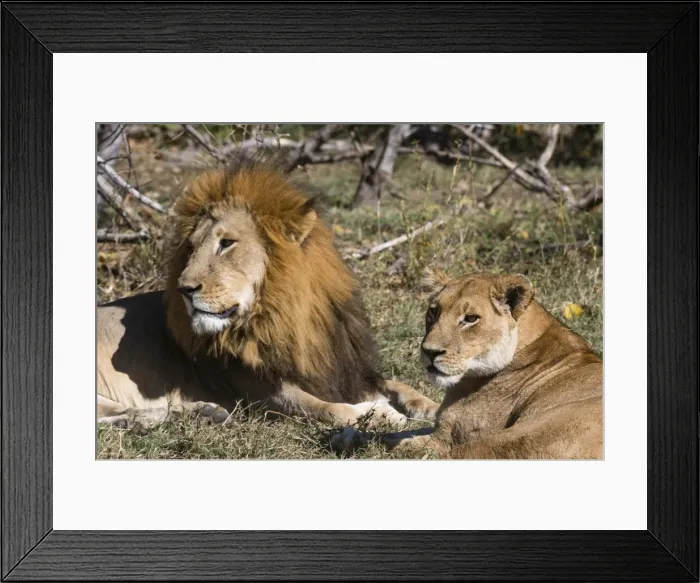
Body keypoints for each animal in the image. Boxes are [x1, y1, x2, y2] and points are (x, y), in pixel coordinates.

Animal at [97, 154, 439, 433]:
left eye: (226, 243)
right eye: (192, 248)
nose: (184, 288)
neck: (291, 316)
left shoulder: (343, 371)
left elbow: (403, 387)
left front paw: (435, 408)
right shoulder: (264, 395)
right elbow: (328, 408)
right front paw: (382, 414)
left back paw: (203, 413)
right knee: (113, 416)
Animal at [333, 270, 603, 459]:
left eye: (470, 319)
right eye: (434, 312)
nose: (429, 352)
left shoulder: (447, 438)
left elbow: (387, 441)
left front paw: (346, 438)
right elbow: (401, 432)